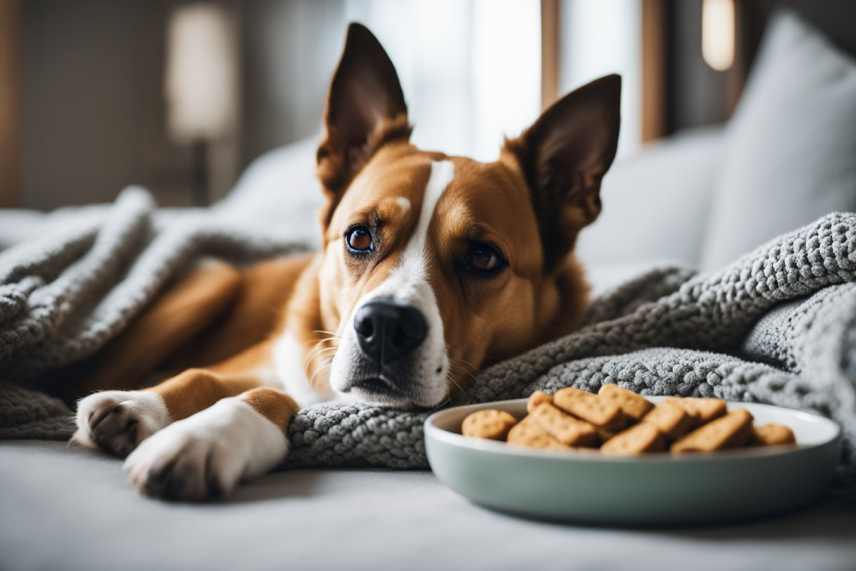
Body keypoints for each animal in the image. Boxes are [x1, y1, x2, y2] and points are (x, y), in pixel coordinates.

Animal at [73, 23, 620, 500]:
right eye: (359, 237)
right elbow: (202, 375)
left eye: (484, 258)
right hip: (214, 284)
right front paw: (139, 402)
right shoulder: (262, 359)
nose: (386, 326)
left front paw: (204, 437)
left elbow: (274, 398)